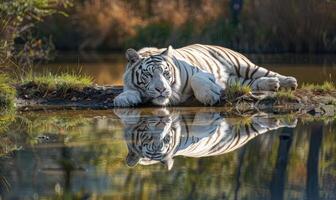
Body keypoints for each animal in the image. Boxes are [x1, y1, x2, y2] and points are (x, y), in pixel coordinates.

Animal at [114, 43, 298, 106]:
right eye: (149, 75)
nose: (161, 90)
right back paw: (271, 84)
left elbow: (197, 78)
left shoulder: (201, 72)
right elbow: (128, 90)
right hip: (237, 80)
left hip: (243, 65)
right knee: (249, 84)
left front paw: (209, 96)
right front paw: (123, 99)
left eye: (166, 74)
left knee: (267, 72)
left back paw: (289, 81)